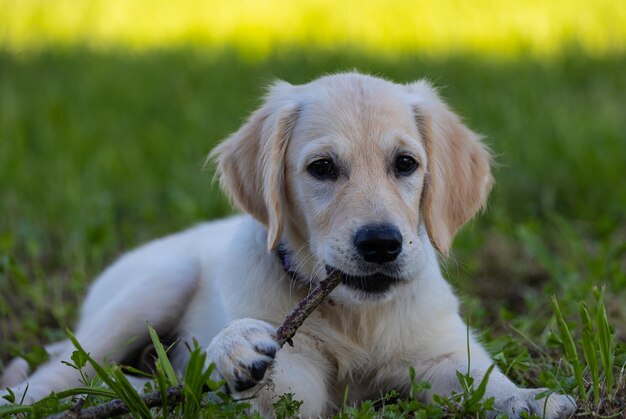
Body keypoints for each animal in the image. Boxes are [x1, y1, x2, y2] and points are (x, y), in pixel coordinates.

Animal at [1, 74, 576, 418]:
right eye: (321, 168)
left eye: (405, 164)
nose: (381, 244)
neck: (353, 315)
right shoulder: (292, 385)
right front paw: (234, 348)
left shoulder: (441, 353)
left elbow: (488, 382)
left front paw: (533, 400)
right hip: (153, 286)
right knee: (56, 376)